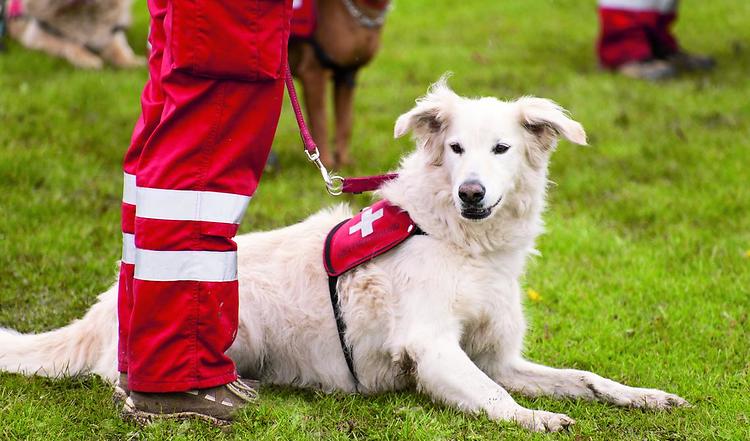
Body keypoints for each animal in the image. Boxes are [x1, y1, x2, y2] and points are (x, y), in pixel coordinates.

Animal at [0, 78, 688, 430]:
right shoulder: (434, 349)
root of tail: (101, 311)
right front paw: (536, 418)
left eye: (501, 150)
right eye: (456, 149)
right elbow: (495, 399)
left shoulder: (498, 357)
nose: (470, 194)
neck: (459, 241)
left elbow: (585, 379)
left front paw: (644, 396)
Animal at [290, 0, 390, 168]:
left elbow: (345, 122)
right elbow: (320, 122)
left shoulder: (347, 74)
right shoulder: (314, 74)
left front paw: (343, 161)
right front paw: (327, 163)